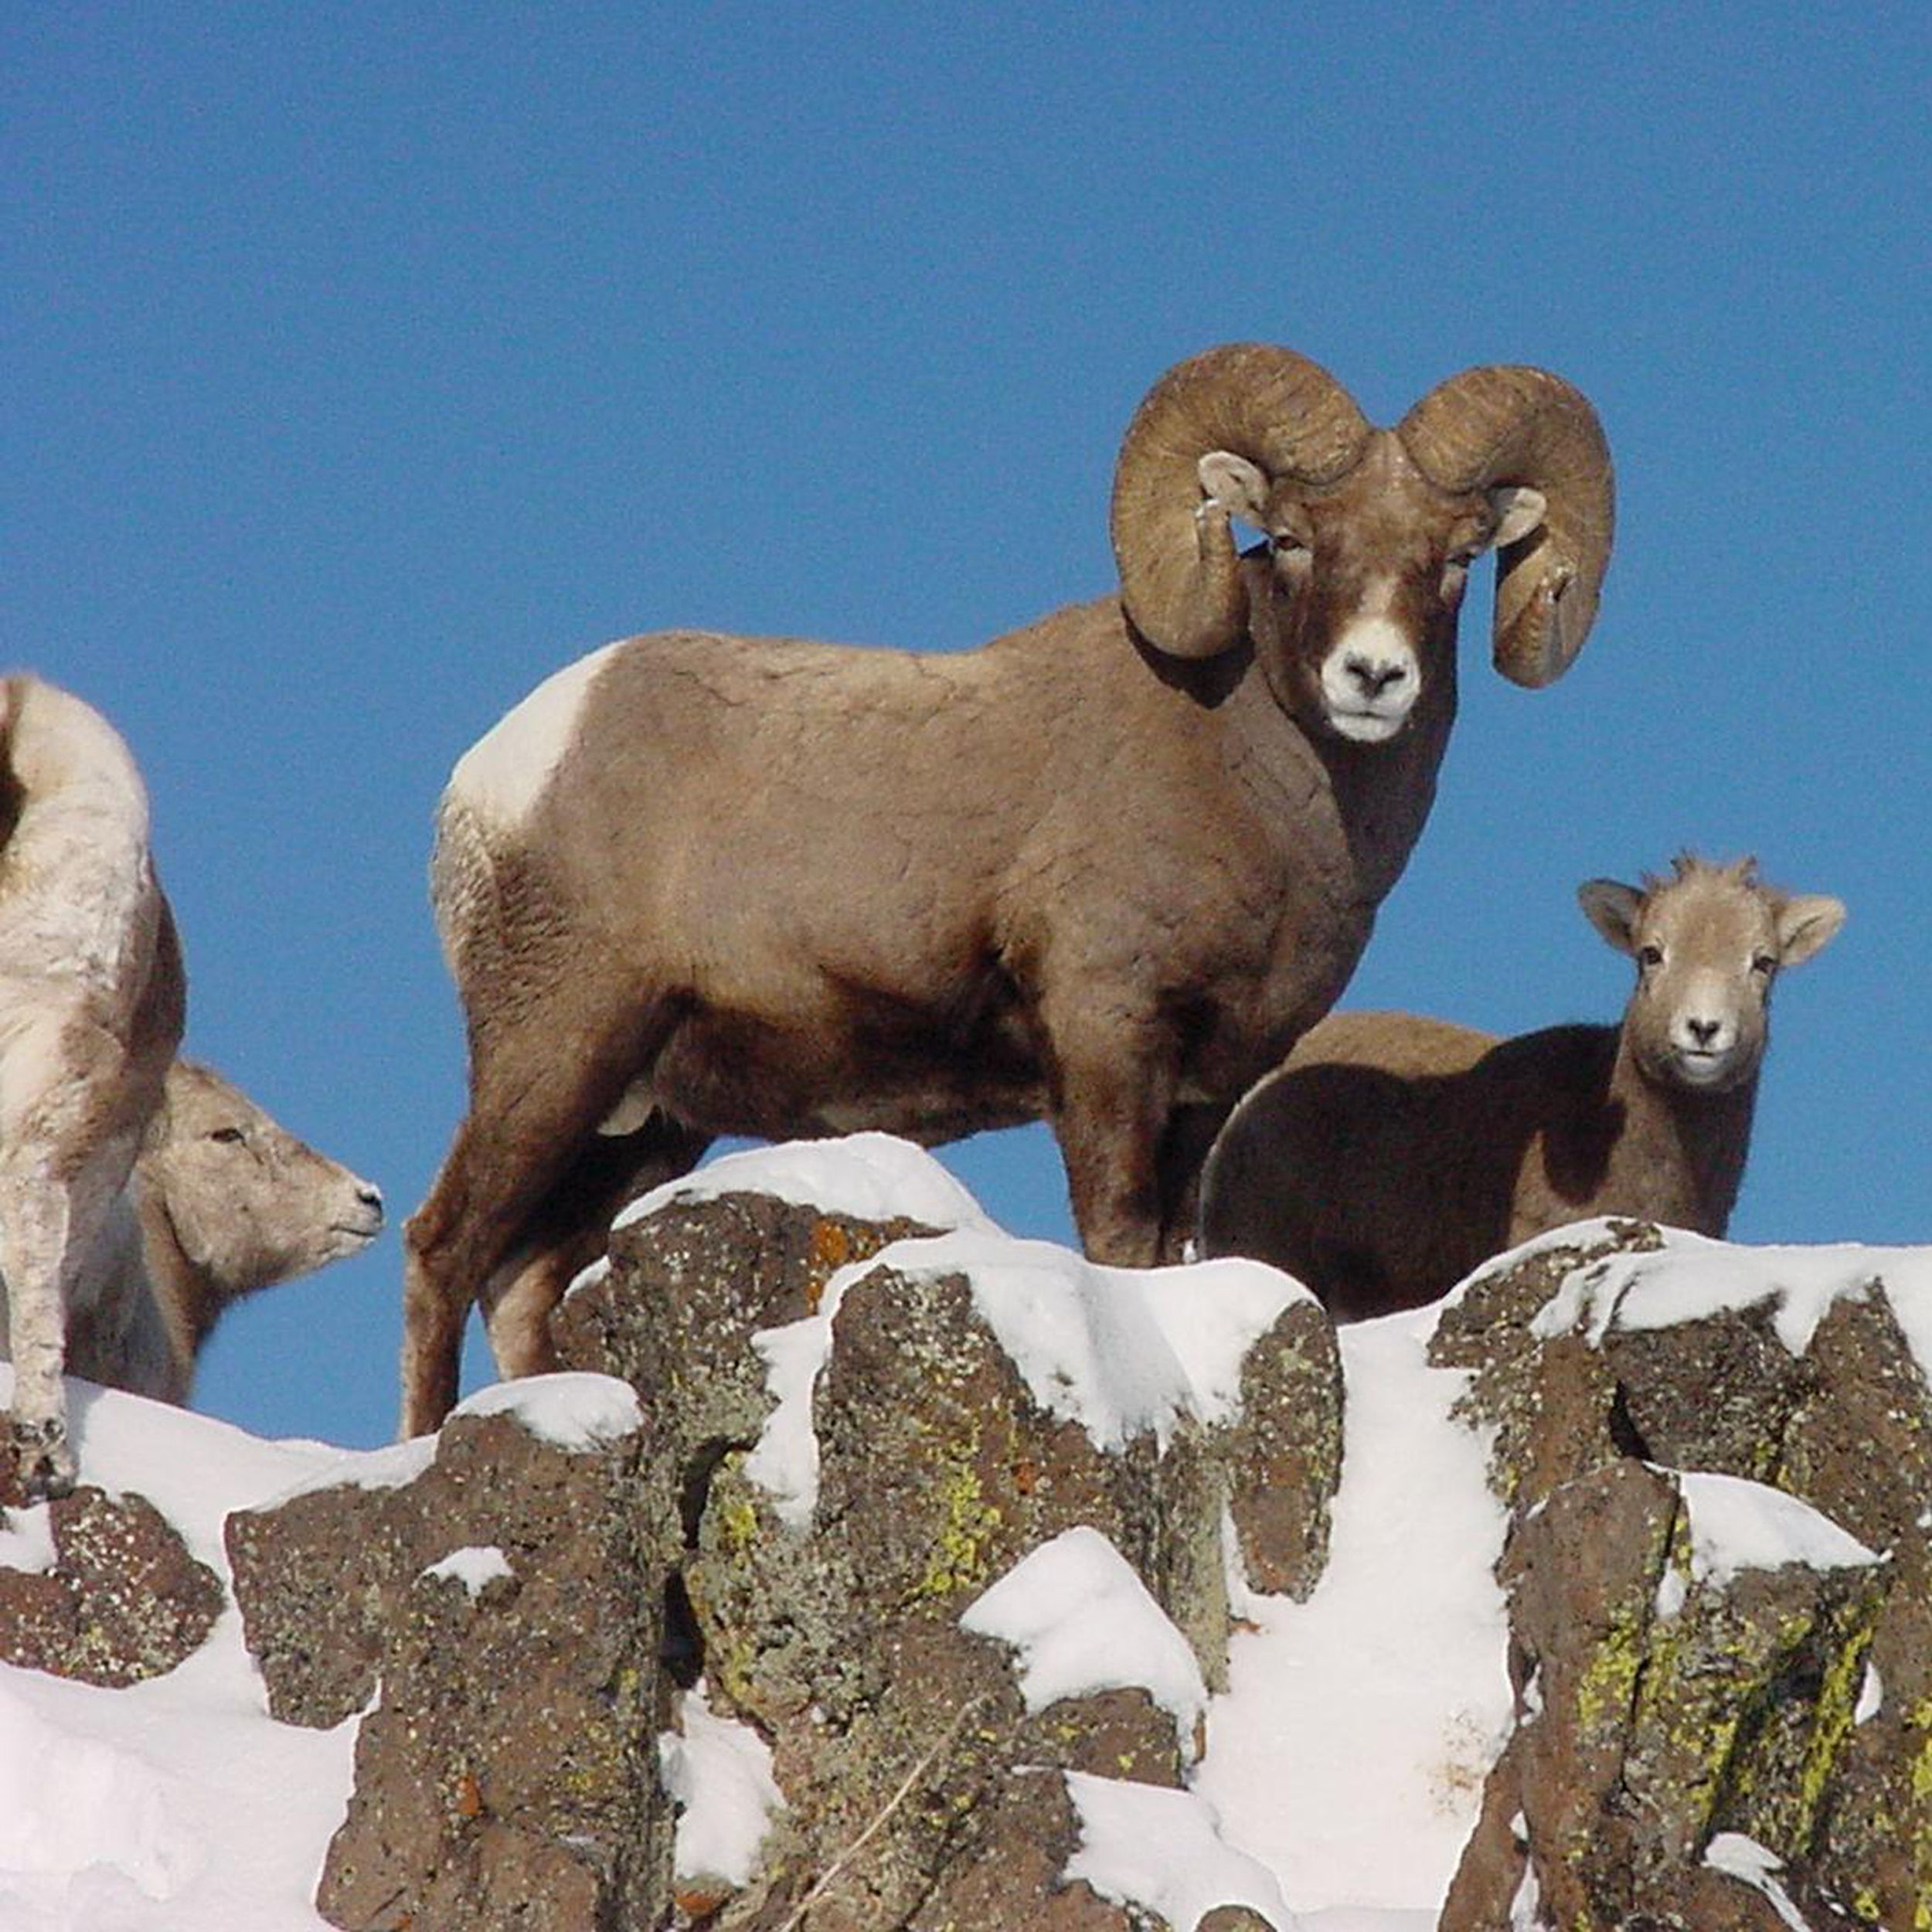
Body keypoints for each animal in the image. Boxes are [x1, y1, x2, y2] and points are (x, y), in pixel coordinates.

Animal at [403, 344, 1615, 1437]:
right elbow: (1118, 1239)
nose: (1372, 677)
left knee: (520, 1283)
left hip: (643, 1121)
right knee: (442, 1249)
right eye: (1297, 539)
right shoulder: (1105, 1040)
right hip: (553, 1051)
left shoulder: (1205, 1089)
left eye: (1454, 557)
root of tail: (493, 776)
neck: (1247, 776)